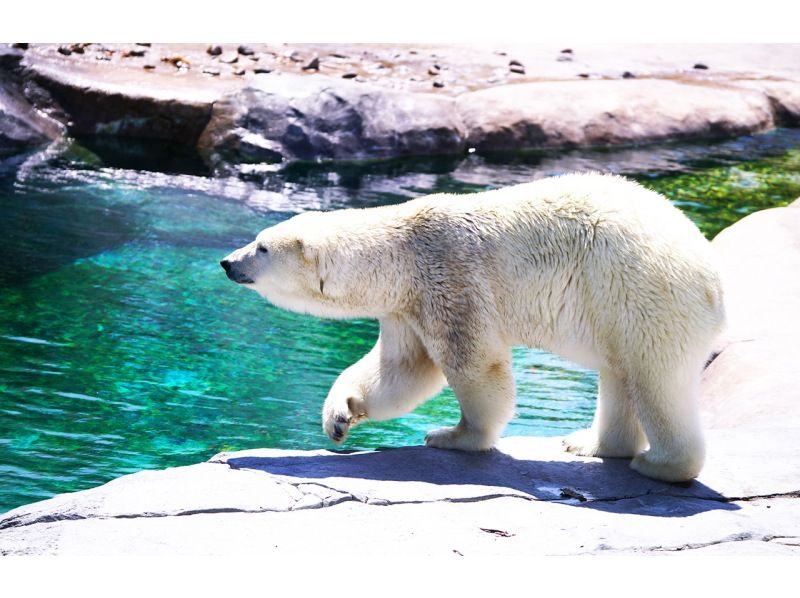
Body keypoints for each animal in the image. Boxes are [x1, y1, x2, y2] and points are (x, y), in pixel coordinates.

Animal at [220, 172, 724, 482]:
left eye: (261, 247)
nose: (227, 262)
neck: (399, 251)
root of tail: (712, 278)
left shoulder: (449, 275)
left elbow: (475, 365)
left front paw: (452, 436)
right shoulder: (406, 305)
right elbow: (401, 369)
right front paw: (340, 415)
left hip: (641, 290)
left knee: (654, 377)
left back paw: (659, 464)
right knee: (619, 372)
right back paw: (590, 444)